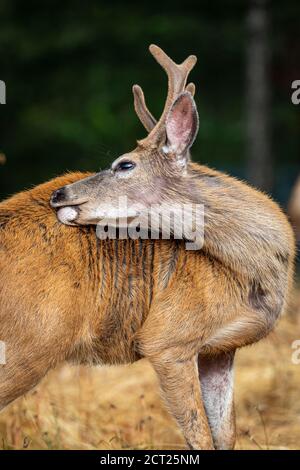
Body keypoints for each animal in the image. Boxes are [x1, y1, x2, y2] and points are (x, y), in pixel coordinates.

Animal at [0, 45, 296, 452]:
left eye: (125, 164)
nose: (59, 194)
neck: (254, 274)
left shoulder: (220, 350)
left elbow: (225, 436)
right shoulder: (166, 338)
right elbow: (200, 436)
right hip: (31, 339)